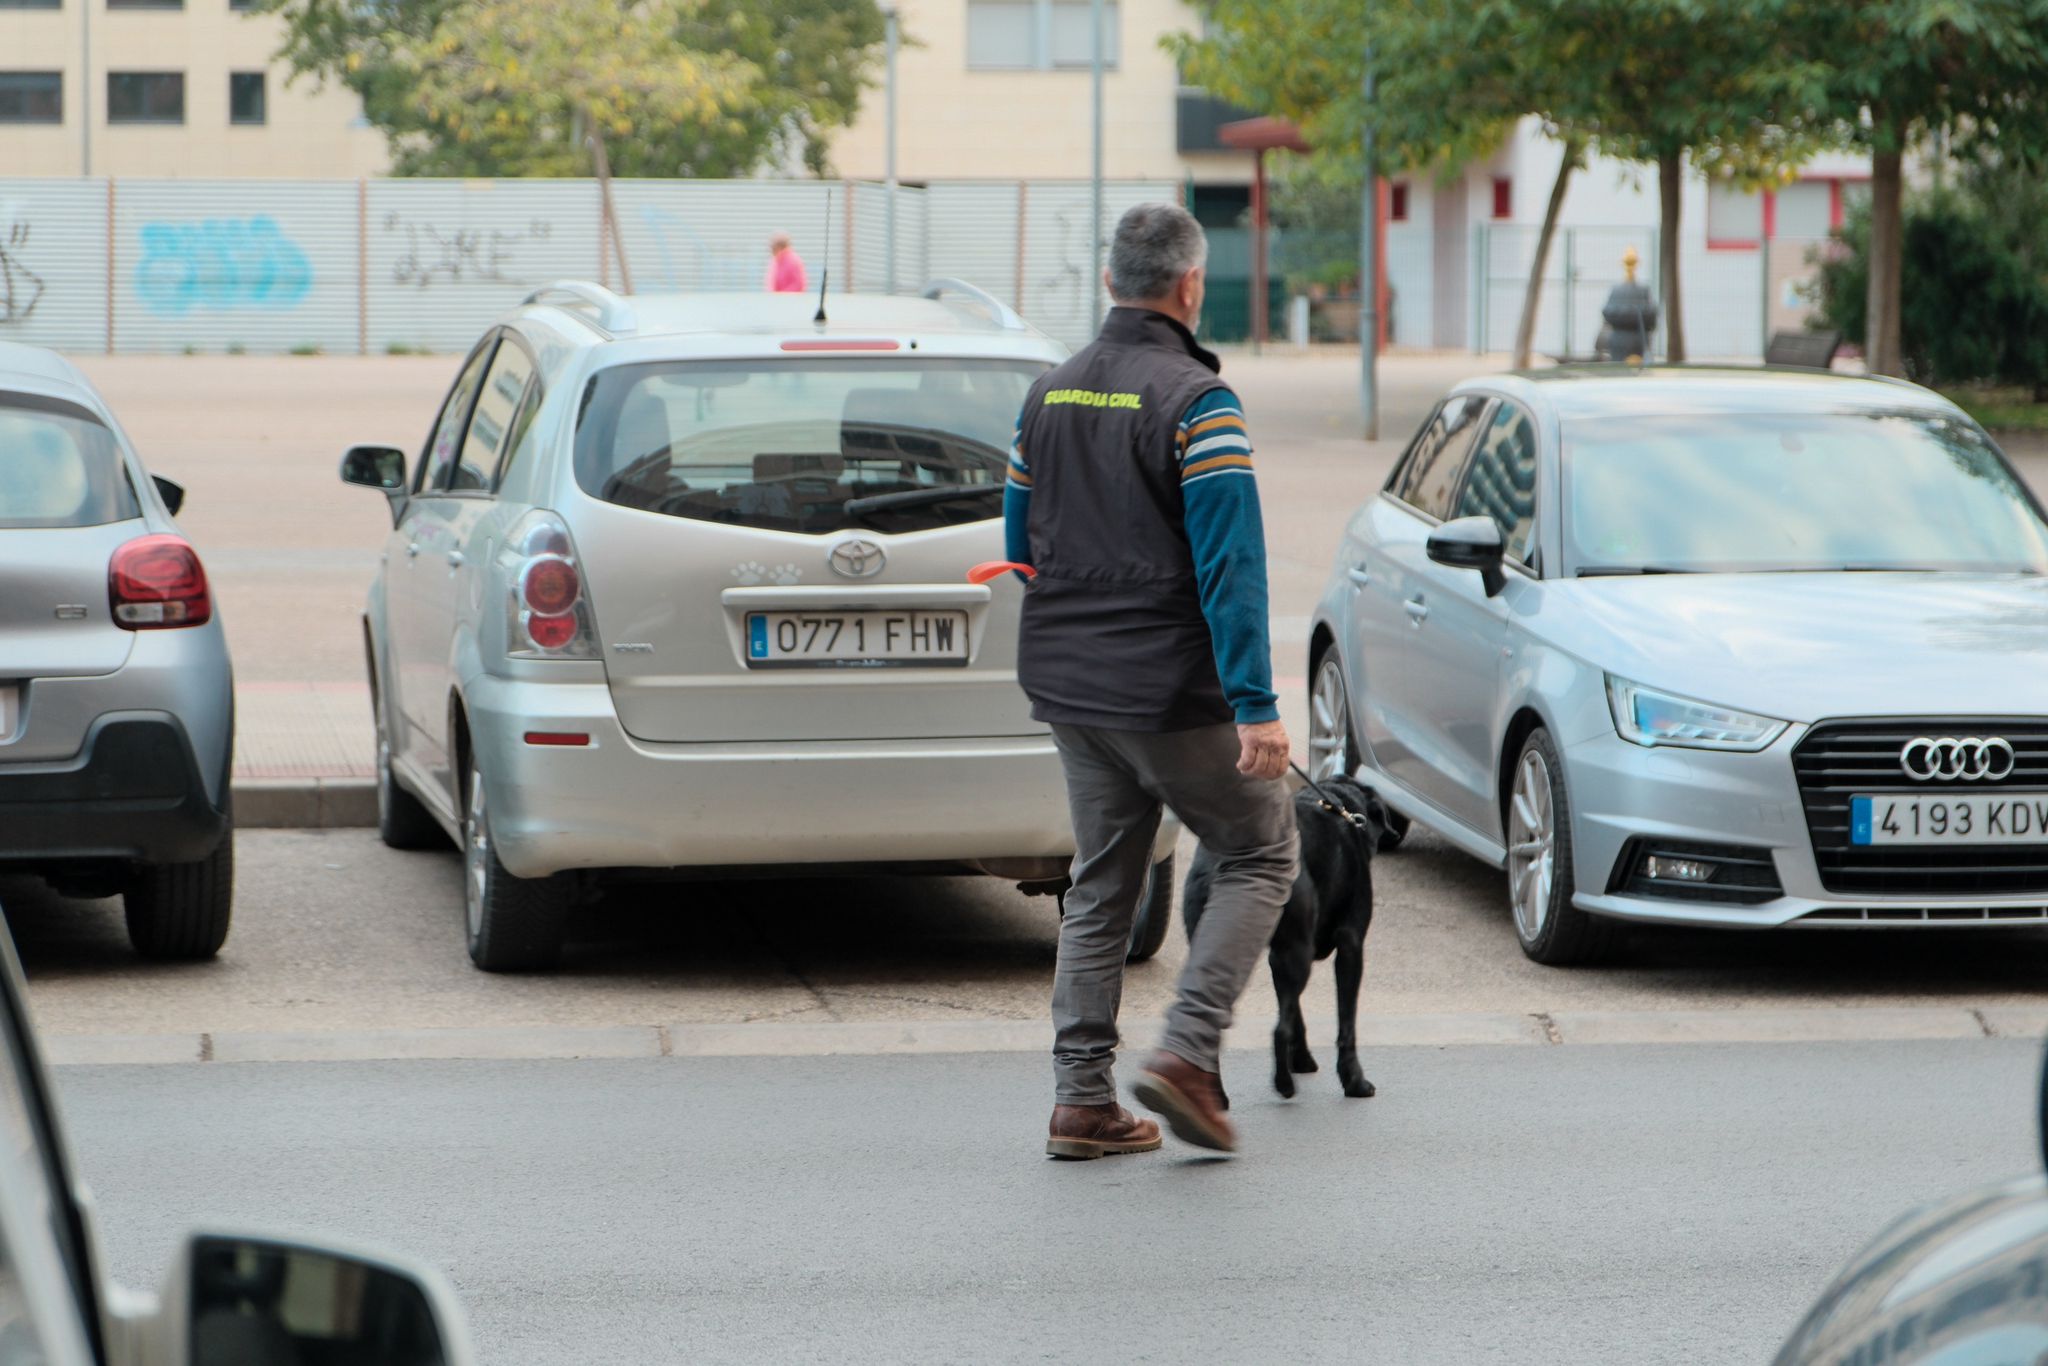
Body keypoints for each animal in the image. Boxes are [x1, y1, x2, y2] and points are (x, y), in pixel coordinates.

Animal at [1179, 774, 1384, 1105]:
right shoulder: (1350, 945)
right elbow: (1346, 1023)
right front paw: (1354, 1080)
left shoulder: (1280, 957)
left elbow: (1295, 1008)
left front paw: (1301, 1059)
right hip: (1296, 952)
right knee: (1278, 1031)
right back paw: (1284, 1084)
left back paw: (1213, 1095)